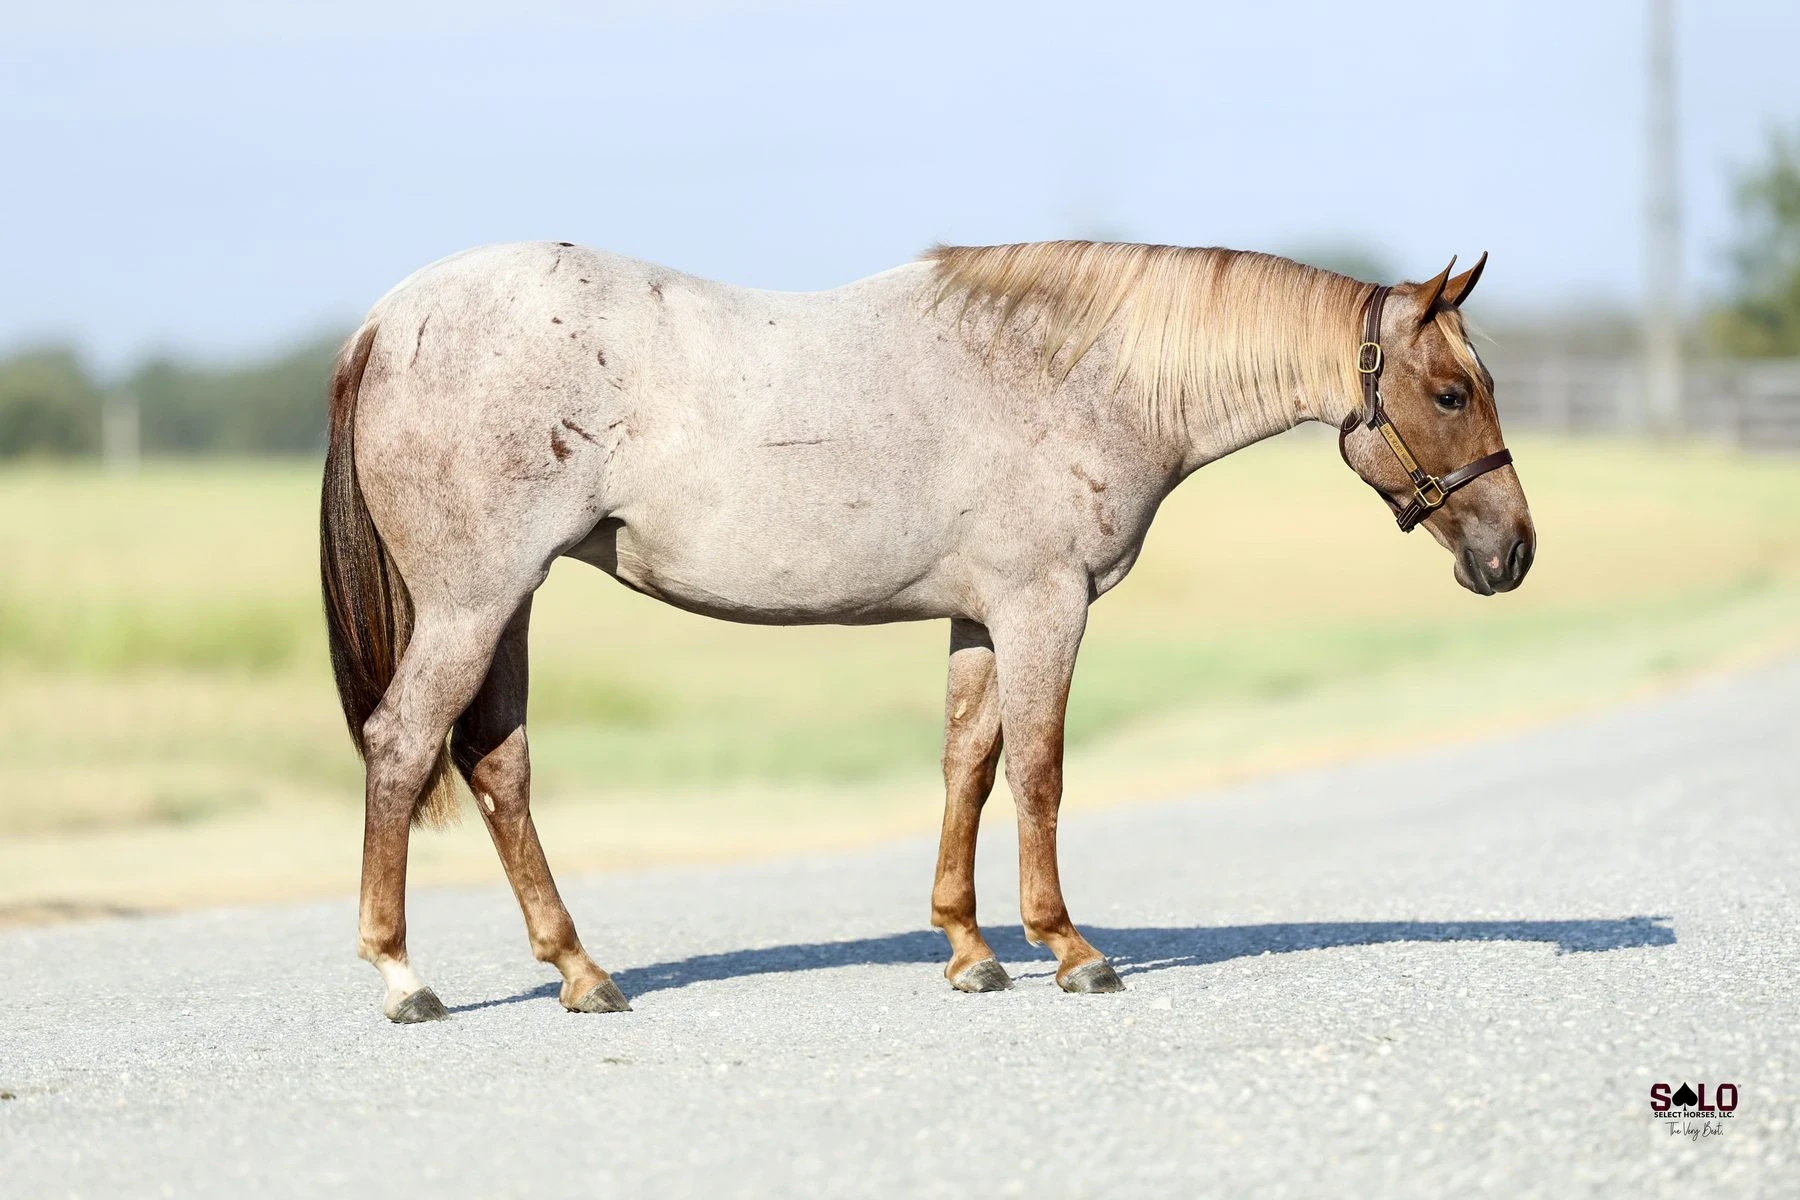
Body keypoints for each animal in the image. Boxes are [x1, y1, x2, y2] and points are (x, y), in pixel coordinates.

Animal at [320, 239, 1533, 1022]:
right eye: (1451, 392)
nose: (1513, 553)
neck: (1077, 372)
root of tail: (386, 322)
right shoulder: (1045, 605)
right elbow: (1038, 768)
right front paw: (1067, 948)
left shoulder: (980, 618)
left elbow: (968, 766)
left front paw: (967, 949)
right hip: (475, 603)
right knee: (403, 746)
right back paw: (402, 977)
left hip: (507, 606)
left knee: (497, 766)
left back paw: (580, 970)